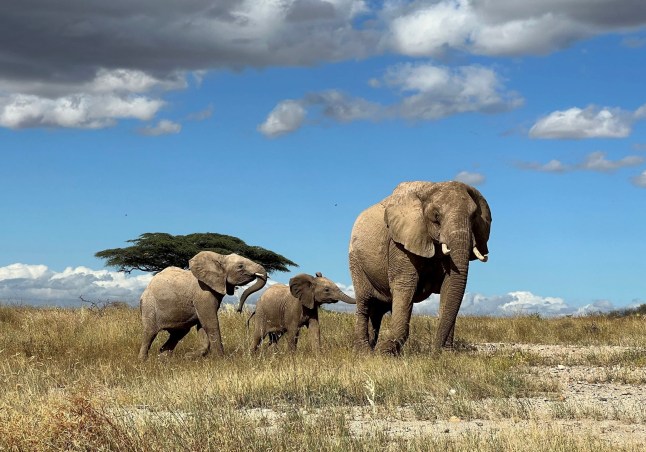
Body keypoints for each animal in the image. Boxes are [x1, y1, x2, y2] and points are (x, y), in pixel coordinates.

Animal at [138, 251, 268, 360]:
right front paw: (222, 359)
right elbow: (210, 323)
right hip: (149, 305)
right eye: (240, 266)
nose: (239, 310)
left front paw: (189, 356)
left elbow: (202, 325)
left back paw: (163, 359)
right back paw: (143, 361)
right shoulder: (203, 293)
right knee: (149, 333)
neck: (220, 258)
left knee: (178, 334)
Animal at [352, 179, 494, 354]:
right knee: (364, 302)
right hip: (356, 261)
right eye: (436, 216)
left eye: (474, 216)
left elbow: (450, 287)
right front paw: (385, 352)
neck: (430, 187)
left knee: (378, 309)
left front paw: (447, 353)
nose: (435, 351)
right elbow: (405, 284)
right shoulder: (399, 242)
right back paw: (364, 351)